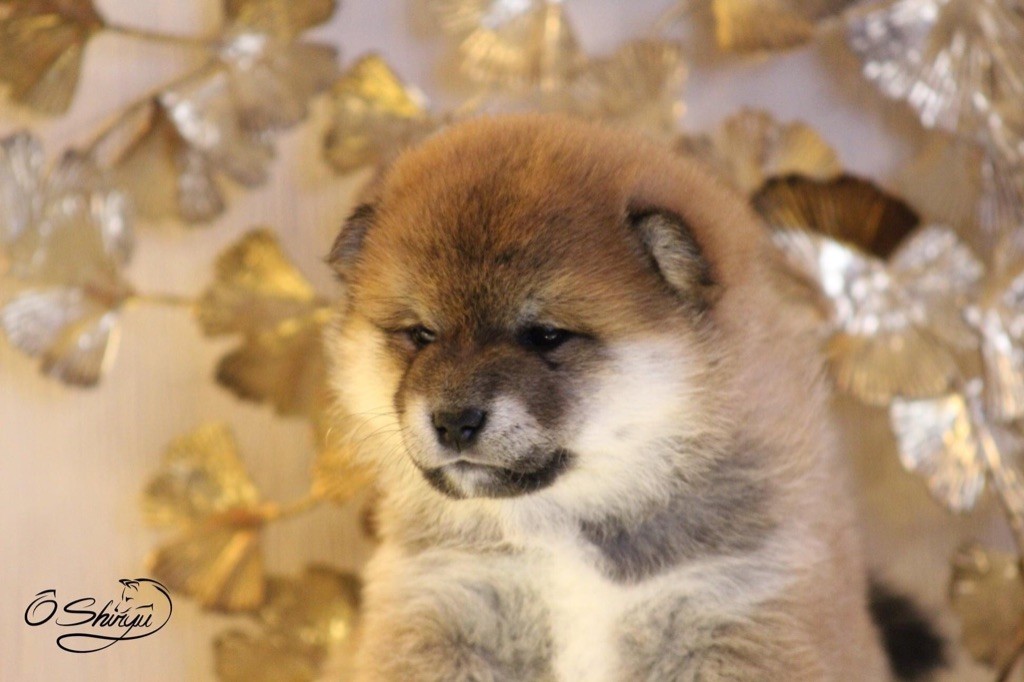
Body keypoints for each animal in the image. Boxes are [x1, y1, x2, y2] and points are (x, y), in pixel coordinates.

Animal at [326, 113, 923, 680]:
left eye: (545, 335)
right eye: (421, 334)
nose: (454, 421)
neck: (564, 529)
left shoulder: (732, 604)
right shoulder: (448, 598)